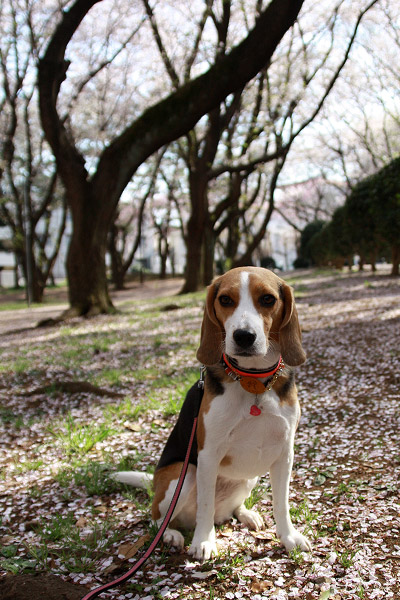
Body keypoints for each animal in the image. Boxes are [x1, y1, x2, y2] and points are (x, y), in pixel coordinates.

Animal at [114, 270, 310, 560]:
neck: (252, 382)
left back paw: (246, 515)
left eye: (268, 299)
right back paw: (171, 534)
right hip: (183, 474)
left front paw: (288, 537)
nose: (243, 336)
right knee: (158, 518)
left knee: (231, 508)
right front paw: (204, 541)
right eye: (225, 299)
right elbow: (205, 504)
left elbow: (281, 503)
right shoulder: (208, 455)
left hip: (248, 477)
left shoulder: (284, 453)